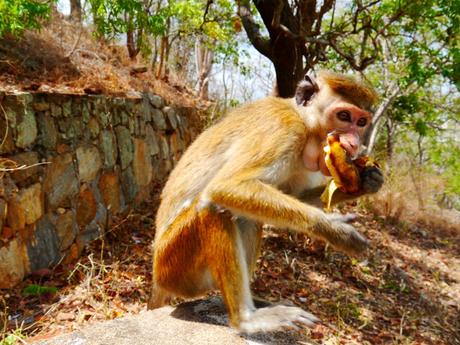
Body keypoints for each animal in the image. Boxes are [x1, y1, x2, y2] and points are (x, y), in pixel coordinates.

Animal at [147, 71, 380, 332]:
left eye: (361, 122)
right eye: (344, 116)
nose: (354, 143)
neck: (304, 122)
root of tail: (157, 280)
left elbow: (294, 196)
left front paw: (365, 181)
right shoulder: (284, 130)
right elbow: (226, 186)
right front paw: (333, 228)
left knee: (246, 216)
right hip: (173, 266)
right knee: (211, 207)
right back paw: (246, 319)